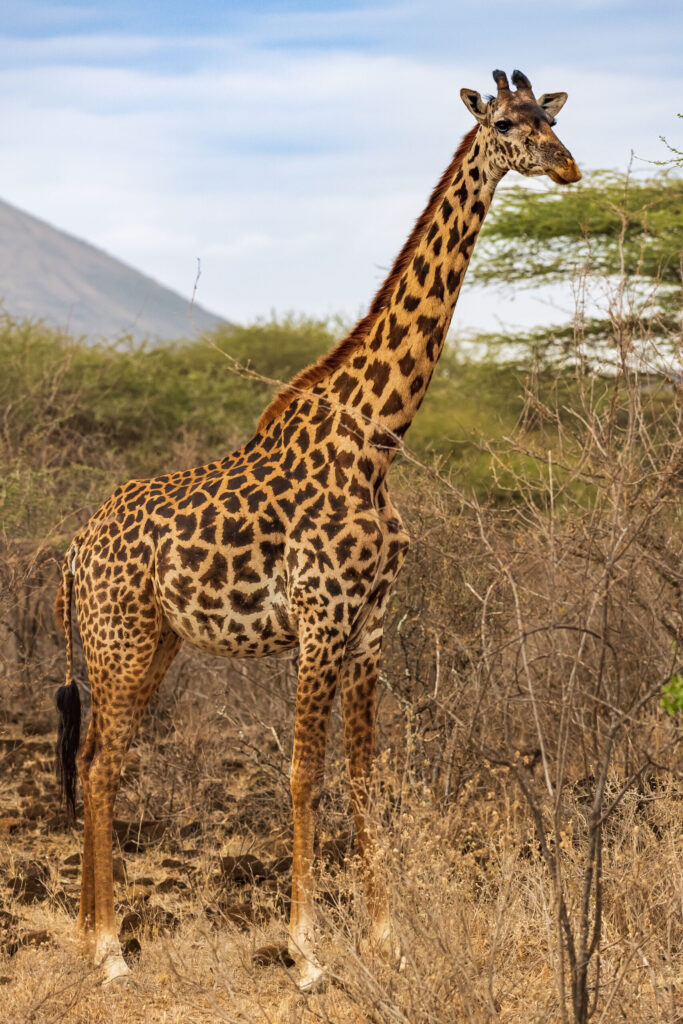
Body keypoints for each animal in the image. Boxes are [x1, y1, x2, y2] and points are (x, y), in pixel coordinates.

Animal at [55, 69, 580, 991]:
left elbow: (365, 775)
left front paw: (386, 940)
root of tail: (76, 552)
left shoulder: (371, 623)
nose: (568, 166)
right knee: (99, 763)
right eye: (508, 126)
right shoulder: (320, 617)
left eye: (551, 119)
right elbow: (304, 773)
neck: (377, 438)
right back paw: (111, 950)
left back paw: (93, 941)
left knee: (97, 762)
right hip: (120, 639)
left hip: (153, 641)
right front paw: (306, 953)